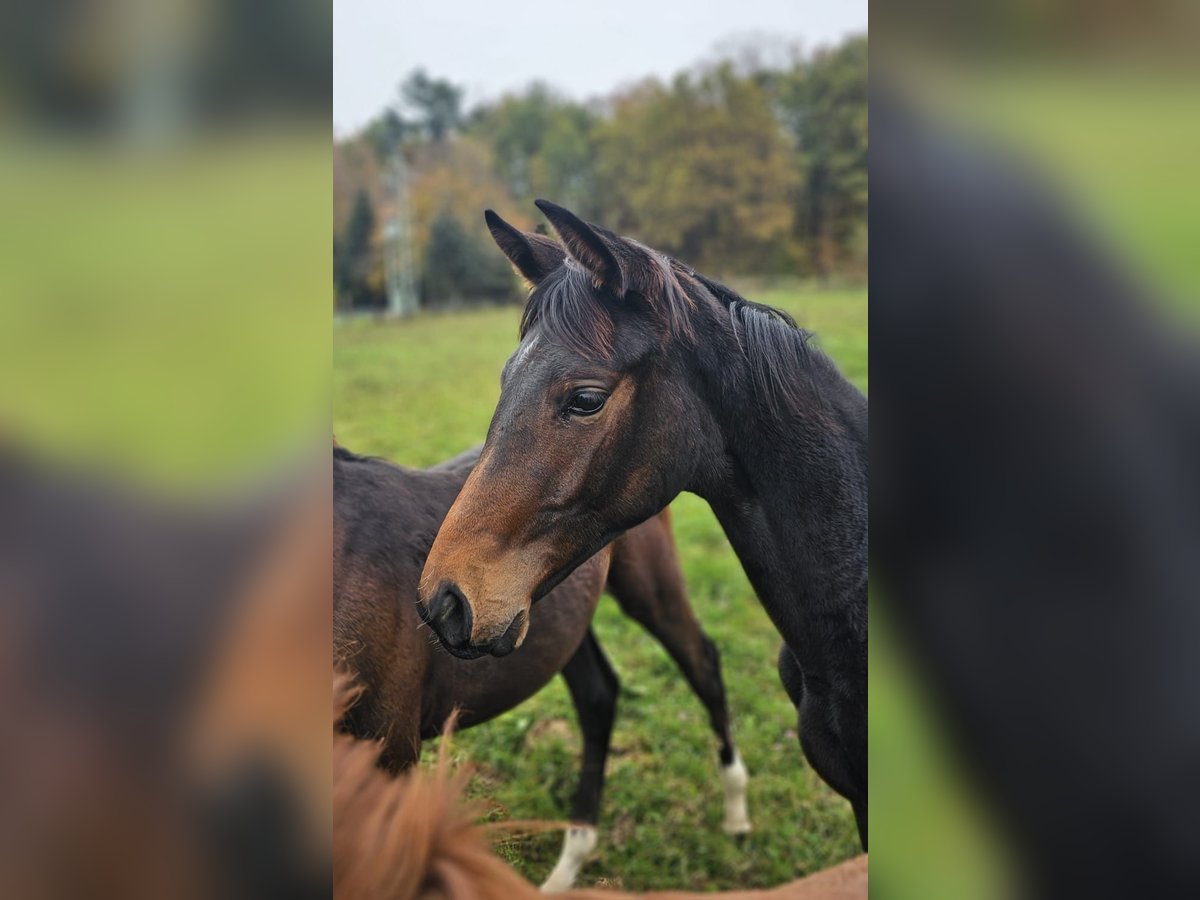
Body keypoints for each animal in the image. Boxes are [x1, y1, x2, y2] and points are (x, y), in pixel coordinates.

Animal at [336, 444, 748, 888]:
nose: (447, 609)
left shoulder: (390, 750)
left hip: (649, 586)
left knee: (703, 663)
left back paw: (736, 812)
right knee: (598, 696)